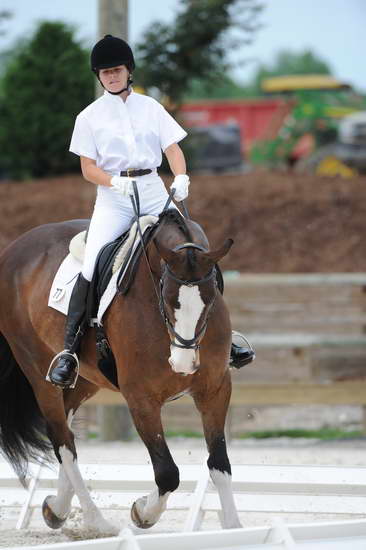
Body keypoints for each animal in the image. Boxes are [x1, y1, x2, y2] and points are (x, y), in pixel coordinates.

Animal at [0, 210, 242, 536]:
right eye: (166, 297)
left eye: (211, 298)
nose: (183, 363)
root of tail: (16, 246)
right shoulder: (141, 399)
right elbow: (167, 473)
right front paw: (143, 512)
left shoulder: (215, 390)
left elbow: (219, 463)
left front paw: (234, 528)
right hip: (38, 371)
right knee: (61, 438)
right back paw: (95, 520)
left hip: (86, 379)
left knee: (67, 426)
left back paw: (58, 507)